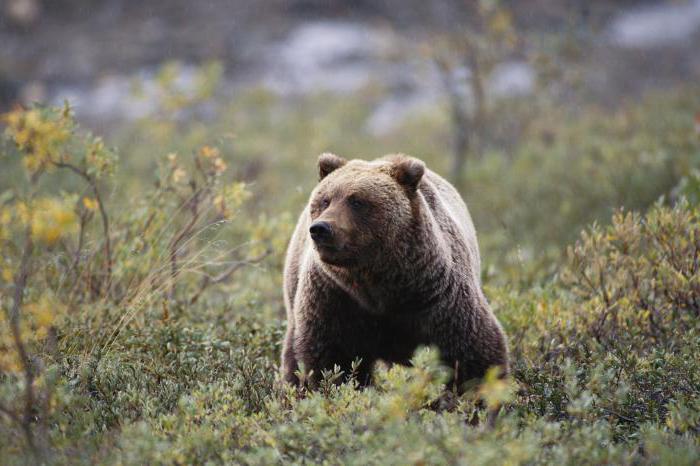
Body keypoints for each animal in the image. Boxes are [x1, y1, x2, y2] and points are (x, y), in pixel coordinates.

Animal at [280, 153, 508, 390]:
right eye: (325, 200)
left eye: (357, 200)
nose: (321, 228)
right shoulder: (334, 297)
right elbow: (331, 360)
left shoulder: (436, 298)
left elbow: (474, 353)